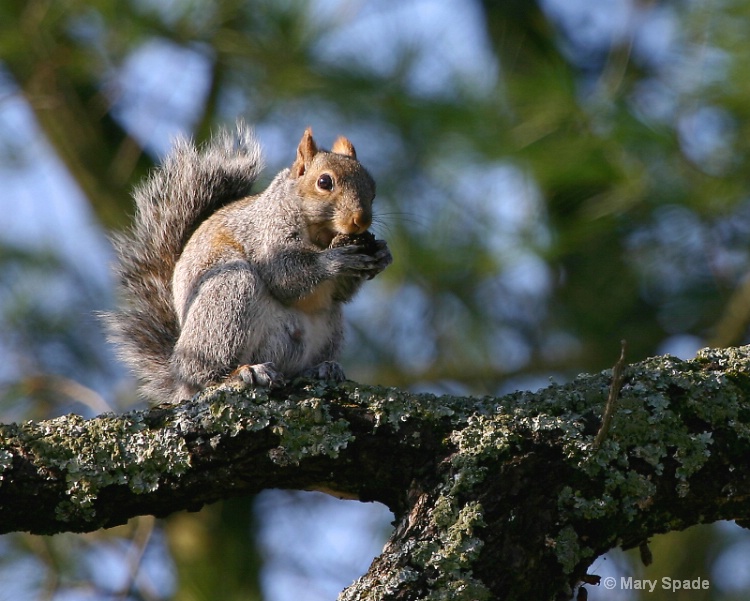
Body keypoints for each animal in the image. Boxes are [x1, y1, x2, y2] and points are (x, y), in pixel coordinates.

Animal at [108, 122, 396, 404]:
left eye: (372, 186)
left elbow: (340, 293)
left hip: (329, 325)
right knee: (208, 372)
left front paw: (382, 254)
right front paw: (338, 258)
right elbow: (284, 275)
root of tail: (181, 384)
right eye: (325, 182)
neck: (322, 234)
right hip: (228, 296)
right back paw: (243, 372)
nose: (361, 220)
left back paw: (322, 368)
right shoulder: (266, 233)